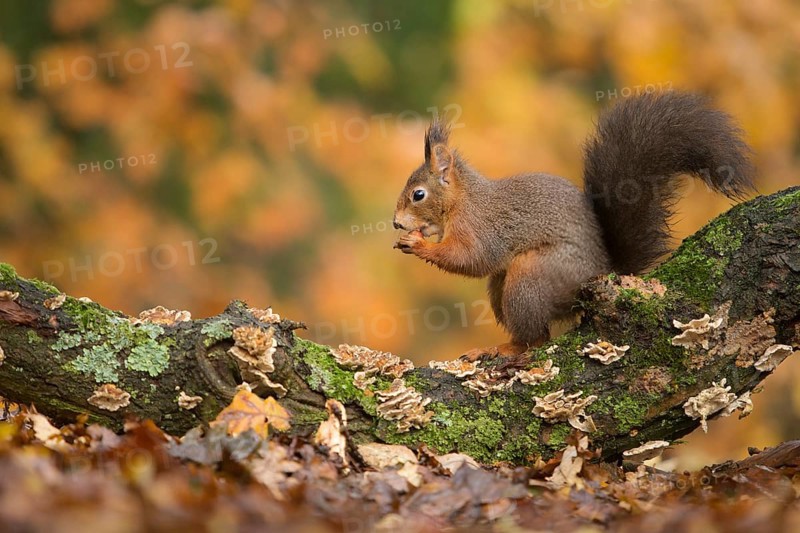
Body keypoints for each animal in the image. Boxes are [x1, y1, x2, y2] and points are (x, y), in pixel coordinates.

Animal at [392, 91, 755, 360]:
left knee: (535, 338)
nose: (396, 223)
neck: (463, 199)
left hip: (533, 275)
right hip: (502, 287)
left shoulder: (481, 227)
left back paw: (505, 349)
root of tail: (605, 270)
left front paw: (419, 244)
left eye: (418, 194)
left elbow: (473, 258)